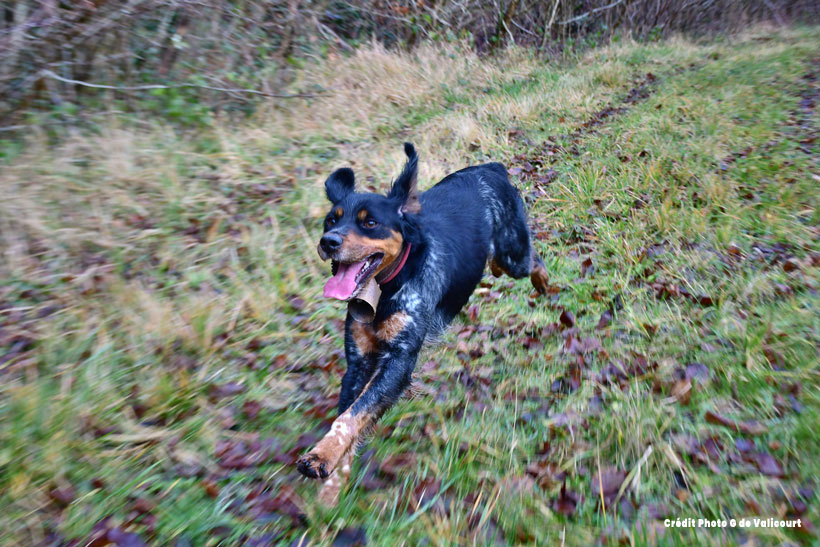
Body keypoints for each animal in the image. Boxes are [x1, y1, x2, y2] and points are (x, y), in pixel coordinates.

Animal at [298, 142, 548, 506]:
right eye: (331, 220)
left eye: (369, 222)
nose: (328, 241)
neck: (386, 289)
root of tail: (491, 167)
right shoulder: (358, 361)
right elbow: (349, 415)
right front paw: (333, 484)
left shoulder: (400, 360)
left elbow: (351, 416)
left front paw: (322, 455)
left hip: (513, 252)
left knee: (532, 260)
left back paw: (542, 282)